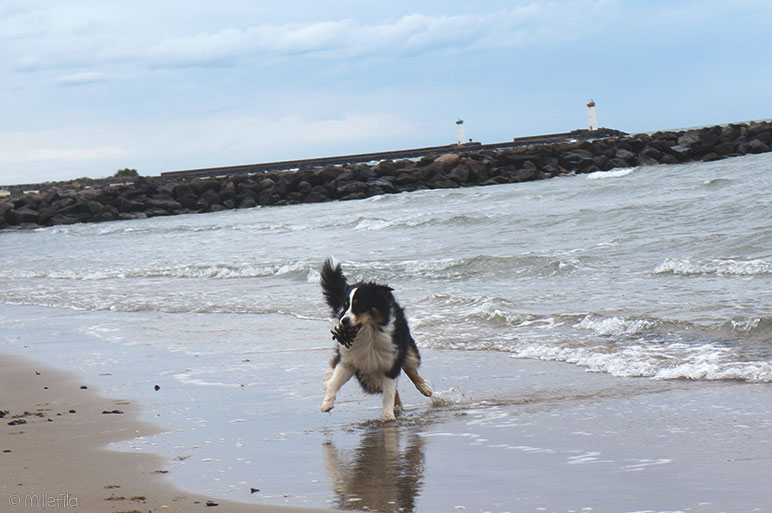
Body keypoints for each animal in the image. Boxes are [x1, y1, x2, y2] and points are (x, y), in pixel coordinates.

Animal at [316, 256, 432, 420]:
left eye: (359, 306)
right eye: (345, 306)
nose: (343, 321)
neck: (369, 334)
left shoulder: (391, 360)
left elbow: (389, 392)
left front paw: (388, 416)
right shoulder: (349, 360)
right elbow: (335, 381)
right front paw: (327, 403)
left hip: (403, 348)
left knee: (409, 368)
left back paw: (424, 388)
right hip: (368, 376)